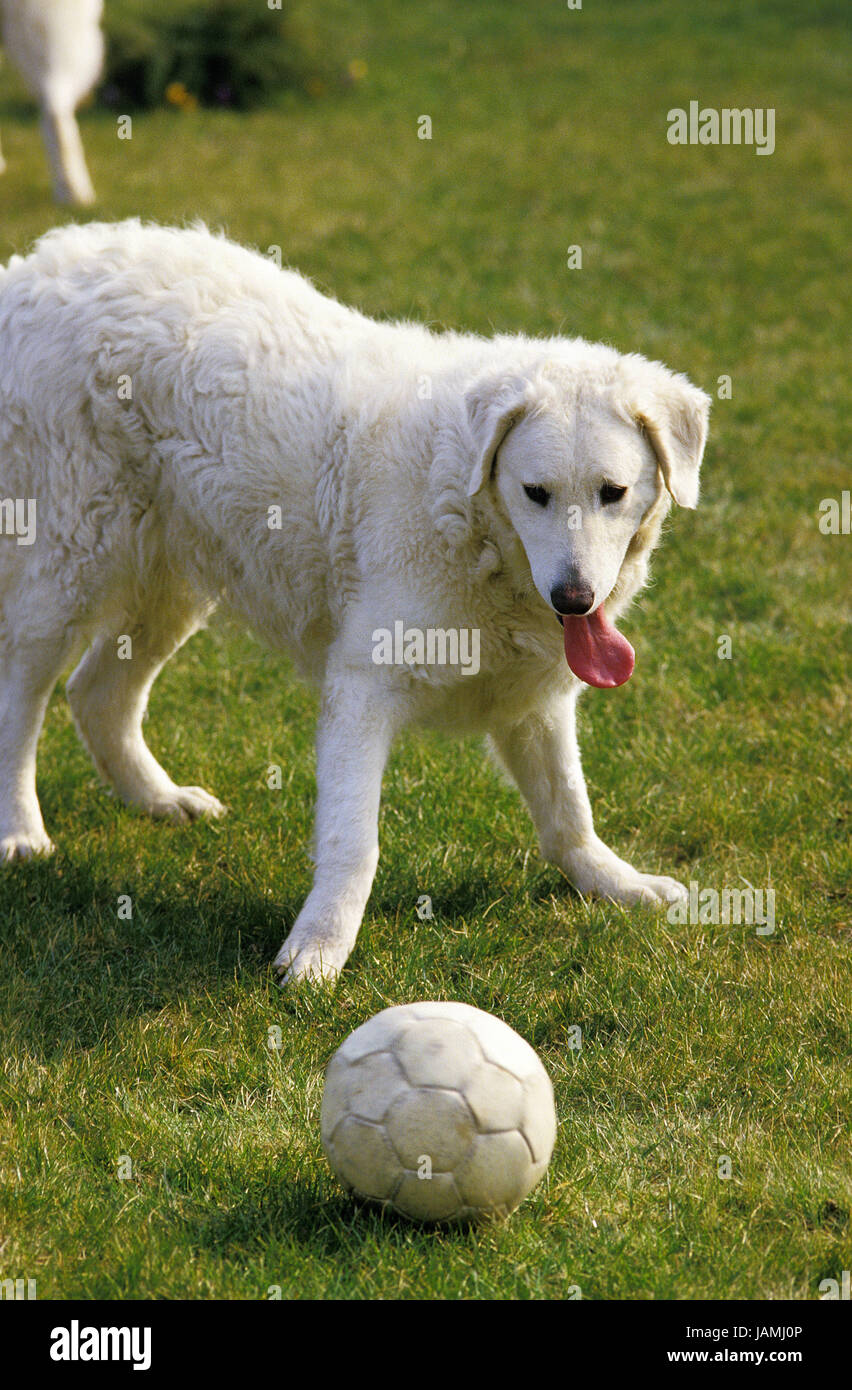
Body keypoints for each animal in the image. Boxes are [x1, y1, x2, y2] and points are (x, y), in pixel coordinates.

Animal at [0, 222, 708, 984]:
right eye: (535, 493)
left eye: (613, 492)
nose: (573, 599)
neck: (467, 519)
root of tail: (39, 263)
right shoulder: (364, 684)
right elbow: (353, 841)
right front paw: (317, 952)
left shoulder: (534, 699)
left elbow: (568, 812)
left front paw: (614, 883)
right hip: (67, 559)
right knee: (23, 695)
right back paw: (20, 830)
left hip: (176, 575)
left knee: (99, 693)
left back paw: (159, 800)